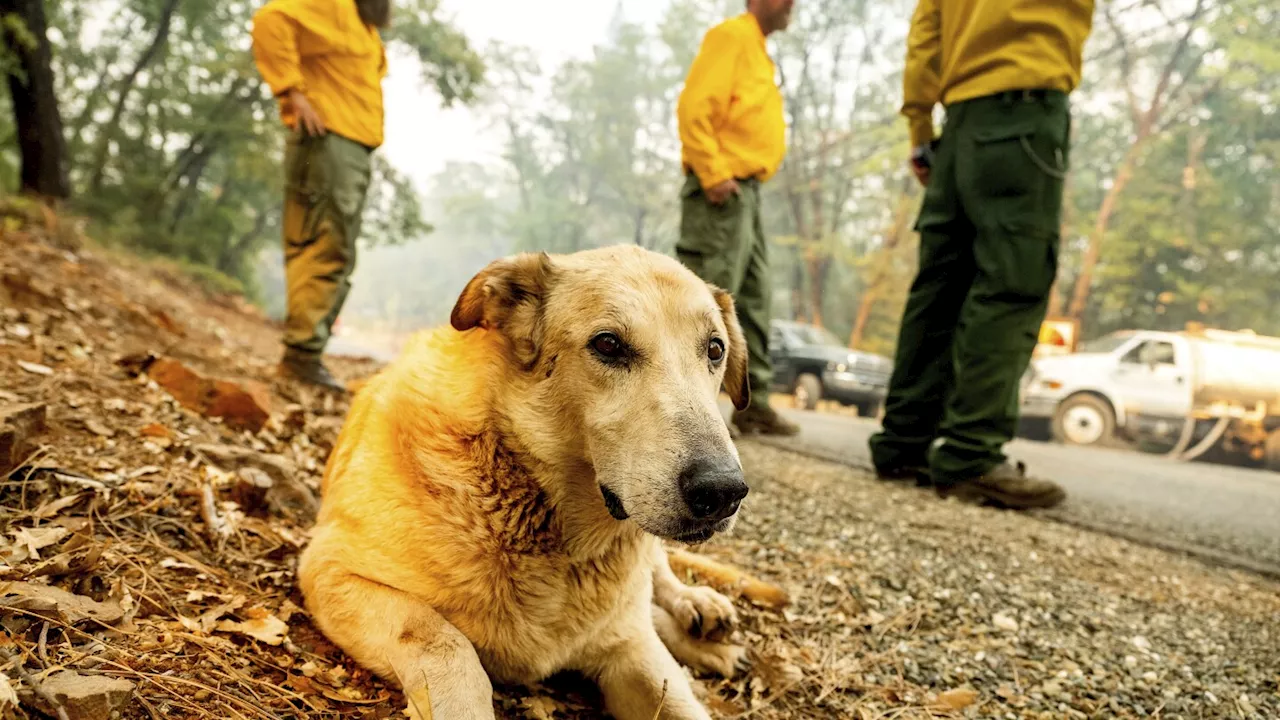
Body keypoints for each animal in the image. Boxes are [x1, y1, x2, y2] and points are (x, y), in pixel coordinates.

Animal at [296, 243, 757, 712]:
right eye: (608, 344)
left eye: (715, 349)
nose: (723, 491)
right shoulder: (331, 571)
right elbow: (446, 643)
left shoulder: (637, 653)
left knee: (657, 582)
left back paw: (699, 611)